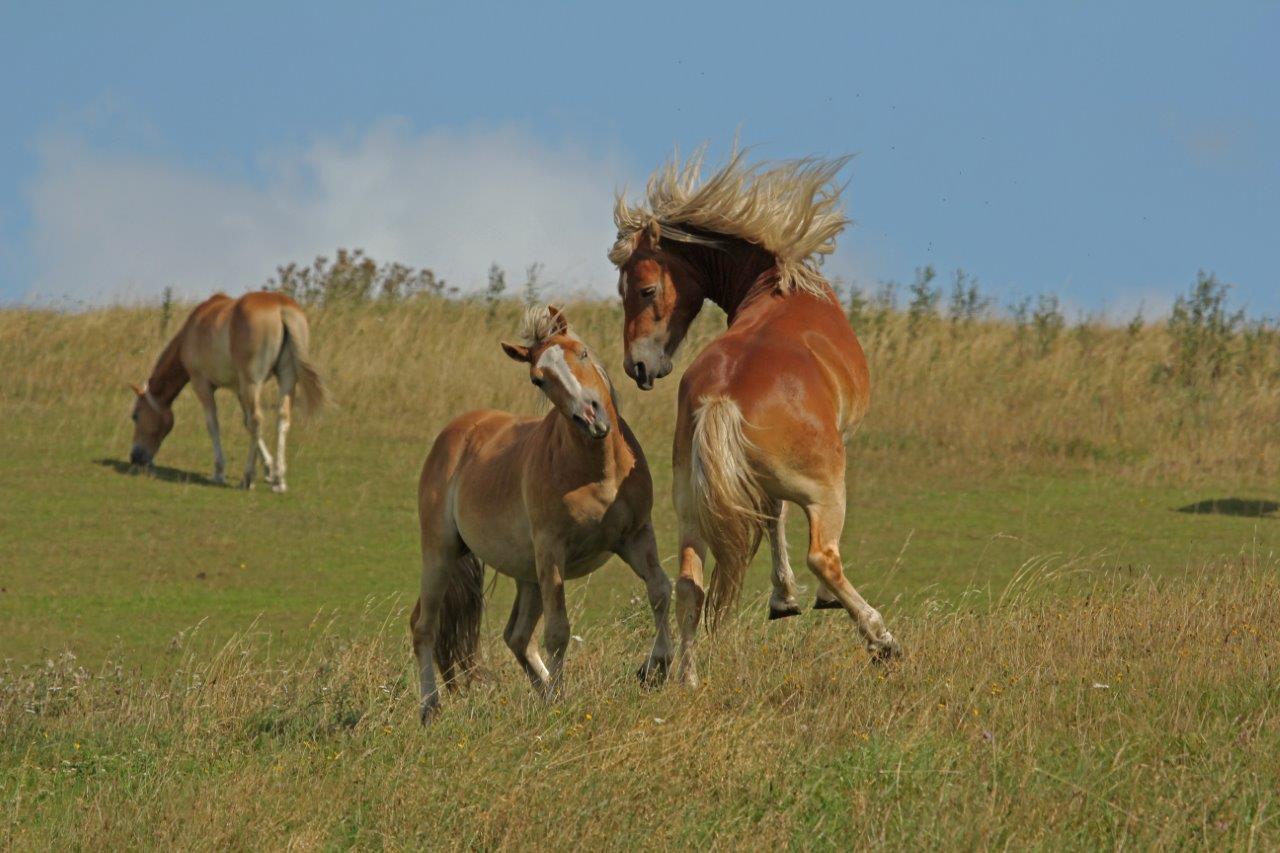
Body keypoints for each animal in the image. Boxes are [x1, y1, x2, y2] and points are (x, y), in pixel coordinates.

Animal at [128, 290, 327, 491]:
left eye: (135, 415)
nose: (135, 457)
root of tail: (280, 307)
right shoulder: (239, 389)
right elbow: (246, 423)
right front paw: (269, 469)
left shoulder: (202, 384)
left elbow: (214, 424)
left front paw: (219, 471)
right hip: (286, 380)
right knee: (282, 419)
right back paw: (279, 480)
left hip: (252, 383)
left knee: (257, 420)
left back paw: (248, 477)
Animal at [409, 303, 675, 717]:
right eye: (539, 380)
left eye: (582, 352)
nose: (592, 418)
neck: (598, 471)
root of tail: (455, 434)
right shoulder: (552, 550)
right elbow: (558, 631)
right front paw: (564, 702)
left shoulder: (635, 536)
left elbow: (661, 590)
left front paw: (655, 667)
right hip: (442, 553)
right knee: (424, 626)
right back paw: (430, 708)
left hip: (526, 574)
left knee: (516, 636)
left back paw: (547, 692)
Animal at [609, 147, 901, 686]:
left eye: (644, 290)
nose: (637, 366)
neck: (780, 287)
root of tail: (720, 398)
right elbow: (783, 523)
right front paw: (794, 599)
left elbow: (770, 520)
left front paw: (782, 599)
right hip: (827, 490)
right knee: (823, 556)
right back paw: (881, 639)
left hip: (690, 507)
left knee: (688, 583)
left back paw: (686, 676)